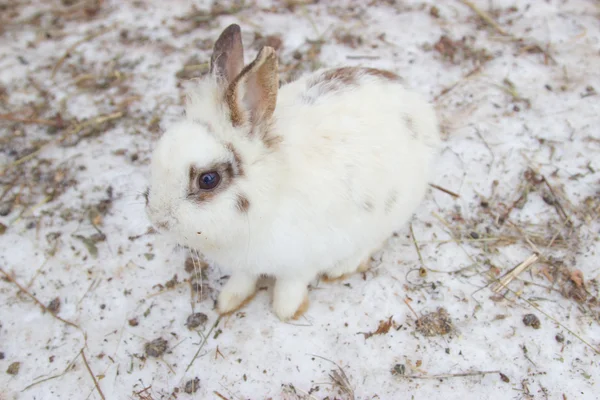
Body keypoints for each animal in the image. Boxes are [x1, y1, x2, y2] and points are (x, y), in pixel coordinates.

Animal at [146, 25, 440, 320]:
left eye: (208, 179)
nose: (158, 219)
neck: (269, 192)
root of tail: (417, 102)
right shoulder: (245, 264)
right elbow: (243, 279)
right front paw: (227, 302)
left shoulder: (302, 263)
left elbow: (289, 287)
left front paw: (286, 311)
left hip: (391, 211)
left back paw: (342, 267)